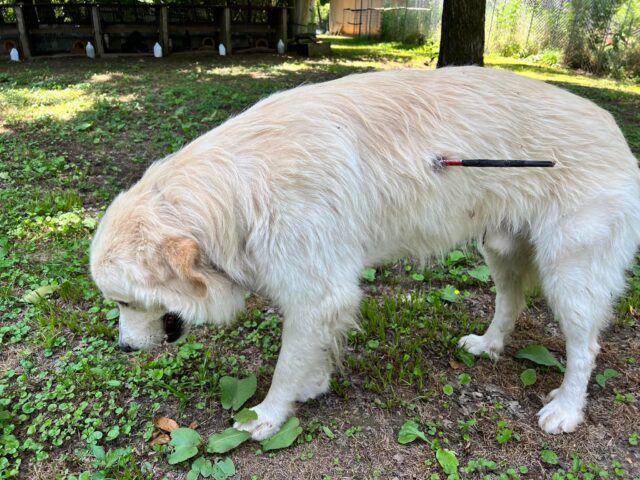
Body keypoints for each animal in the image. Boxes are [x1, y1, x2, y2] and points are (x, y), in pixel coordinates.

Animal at [90, 66, 640, 438]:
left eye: (123, 302)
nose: (123, 350)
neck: (237, 188)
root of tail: (613, 128)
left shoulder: (319, 293)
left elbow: (286, 364)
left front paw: (268, 414)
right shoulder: (317, 295)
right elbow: (311, 353)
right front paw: (311, 386)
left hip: (571, 273)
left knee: (585, 347)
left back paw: (566, 409)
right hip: (501, 250)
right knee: (512, 302)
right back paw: (489, 345)